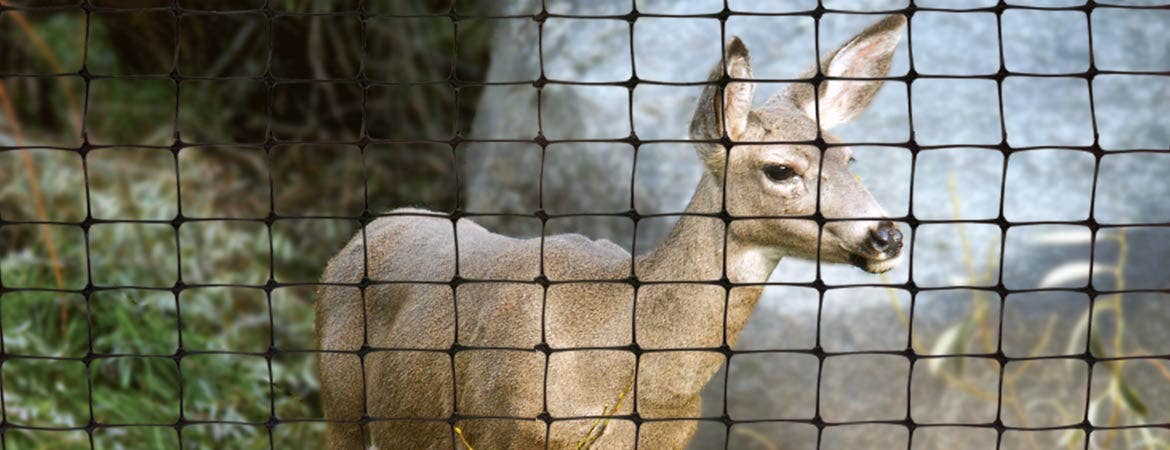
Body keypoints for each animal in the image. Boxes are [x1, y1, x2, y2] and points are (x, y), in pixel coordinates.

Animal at [315, 14, 907, 448]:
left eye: (850, 158)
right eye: (781, 169)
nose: (888, 236)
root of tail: (365, 235)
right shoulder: (500, 430)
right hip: (340, 404)